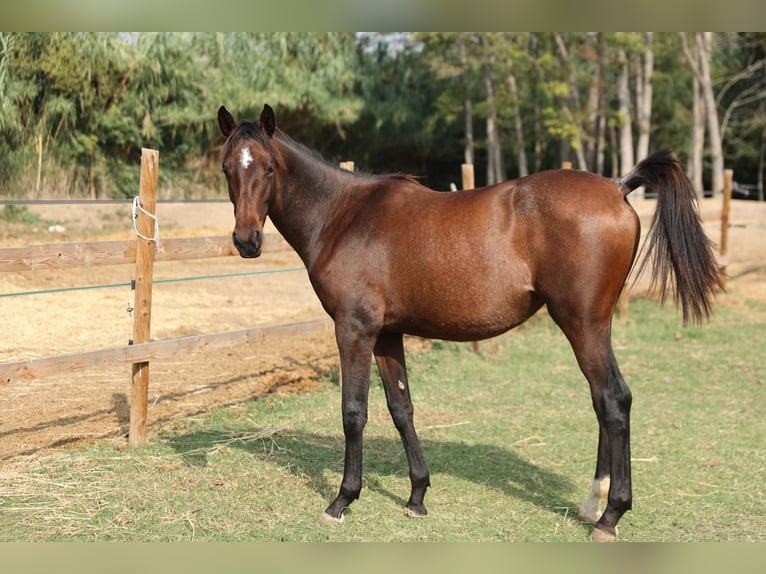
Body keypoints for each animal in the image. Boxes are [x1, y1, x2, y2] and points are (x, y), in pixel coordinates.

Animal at [217, 104, 722, 541]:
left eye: (268, 168)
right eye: (226, 169)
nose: (247, 240)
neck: (344, 215)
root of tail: (618, 186)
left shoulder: (354, 330)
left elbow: (353, 412)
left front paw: (342, 500)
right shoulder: (388, 335)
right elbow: (401, 408)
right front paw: (417, 496)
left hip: (583, 325)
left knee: (614, 400)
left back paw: (610, 515)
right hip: (592, 327)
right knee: (603, 401)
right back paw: (591, 503)